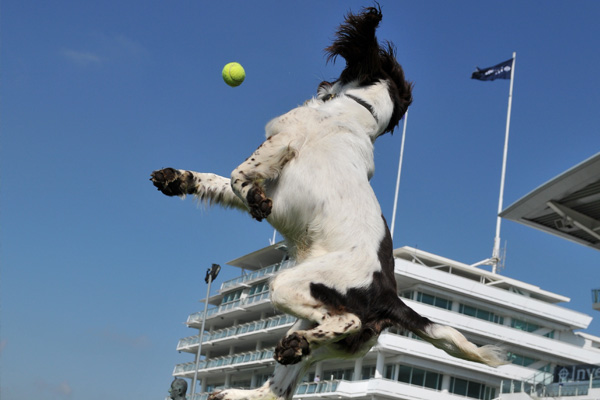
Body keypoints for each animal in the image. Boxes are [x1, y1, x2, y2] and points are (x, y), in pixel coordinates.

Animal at [151, 7, 506, 400]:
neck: (358, 112)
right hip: (306, 324)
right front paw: (176, 178)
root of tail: (390, 298)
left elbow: (237, 175)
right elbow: (217, 180)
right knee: (279, 389)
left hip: (291, 286)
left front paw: (254, 199)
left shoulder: (284, 141)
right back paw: (245, 386)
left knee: (344, 320)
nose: (323, 84)